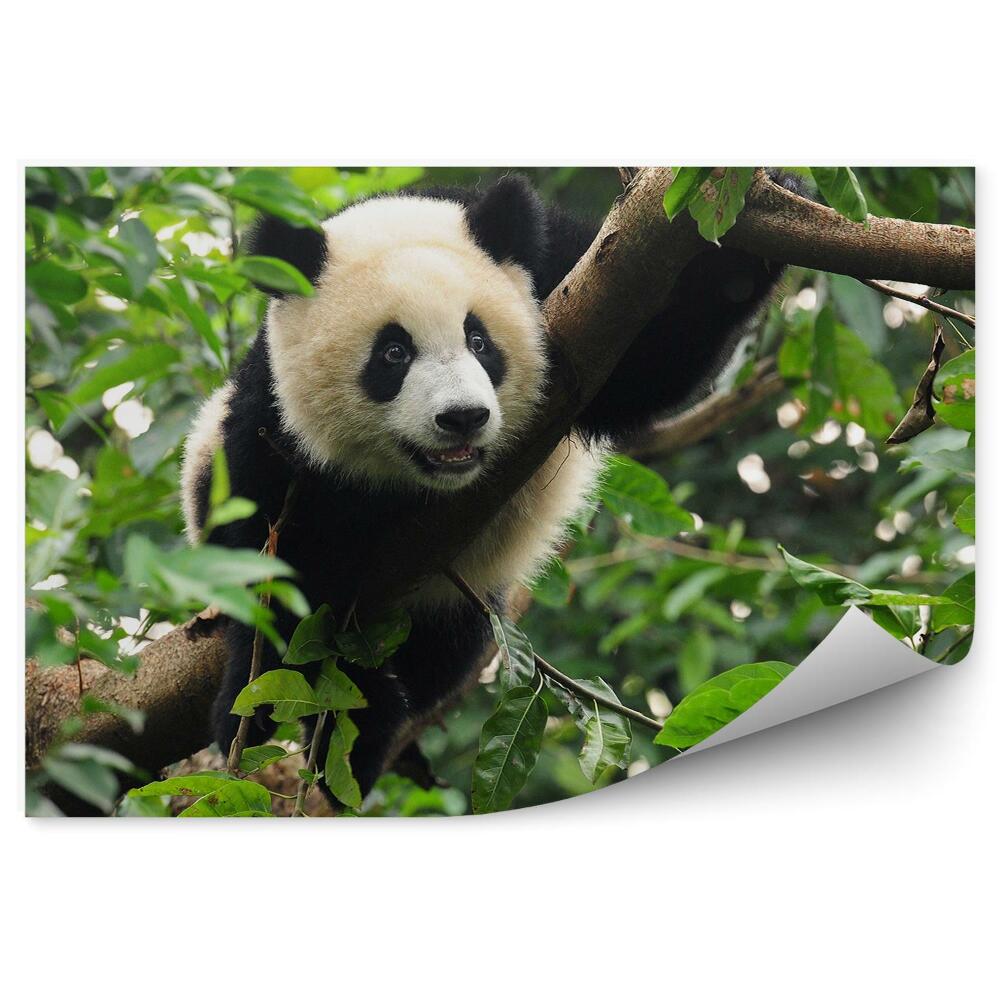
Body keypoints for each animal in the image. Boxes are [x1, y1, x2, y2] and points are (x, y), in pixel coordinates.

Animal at [181, 173, 789, 799]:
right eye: (393, 352)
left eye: (479, 340)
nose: (463, 417)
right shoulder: (273, 427)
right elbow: (283, 570)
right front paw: (297, 715)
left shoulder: (566, 280)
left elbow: (647, 361)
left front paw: (751, 229)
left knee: (443, 655)